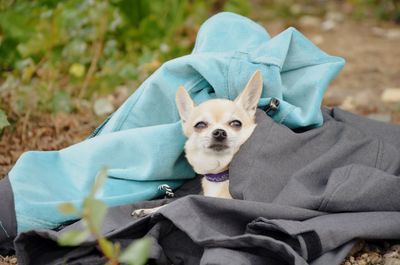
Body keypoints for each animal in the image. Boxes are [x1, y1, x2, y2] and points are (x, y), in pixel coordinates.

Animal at [131, 70, 262, 214]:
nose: (219, 132)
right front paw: (149, 210)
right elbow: (171, 204)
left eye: (236, 123)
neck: (218, 175)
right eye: (200, 125)